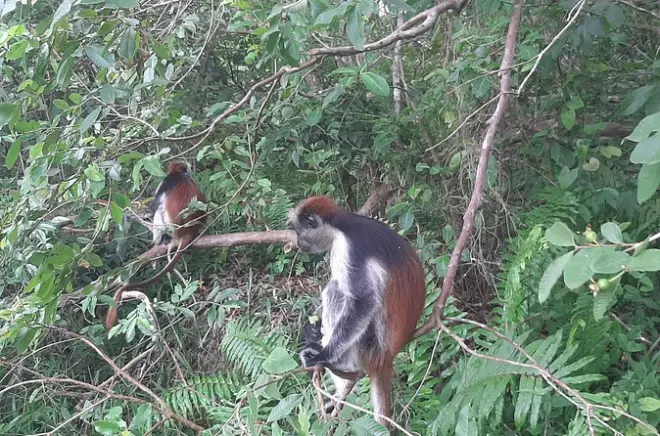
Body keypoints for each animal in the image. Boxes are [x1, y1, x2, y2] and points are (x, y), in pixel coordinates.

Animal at [105, 161, 206, 329]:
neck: (180, 175)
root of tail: (187, 231)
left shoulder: (167, 182)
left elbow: (153, 208)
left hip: (171, 227)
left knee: (159, 210)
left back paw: (159, 240)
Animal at [289, 196, 426, 429]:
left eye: (299, 232)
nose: (298, 244)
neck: (342, 225)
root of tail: (386, 355)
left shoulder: (349, 249)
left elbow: (364, 301)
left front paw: (324, 354)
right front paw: (312, 331)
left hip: (370, 346)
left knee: (336, 290)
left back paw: (341, 365)